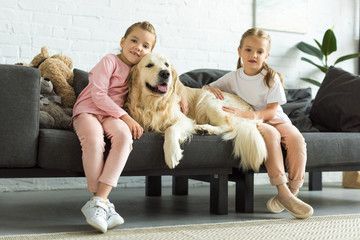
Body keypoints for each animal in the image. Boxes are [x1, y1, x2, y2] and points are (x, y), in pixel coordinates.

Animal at [125, 53, 266, 172]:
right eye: (149, 65)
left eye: (166, 64)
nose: (166, 73)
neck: (154, 104)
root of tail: (250, 109)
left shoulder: (185, 120)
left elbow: (170, 129)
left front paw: (172, 154)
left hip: (208, 98)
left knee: (228, 126)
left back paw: (205, 128)